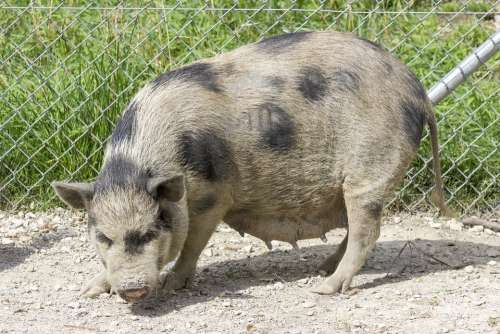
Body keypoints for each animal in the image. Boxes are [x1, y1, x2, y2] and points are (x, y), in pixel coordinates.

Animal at [52, 31, 452, 302]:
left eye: (152, 231)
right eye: (104, 237)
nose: (133, 290)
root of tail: (416, 89)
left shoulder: (213, 196)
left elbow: (193, 243)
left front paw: (171, 285)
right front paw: (90, 290)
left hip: (369, 170)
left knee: (367, 231)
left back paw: (323, 287)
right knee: (356, 230)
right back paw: (322, 268)